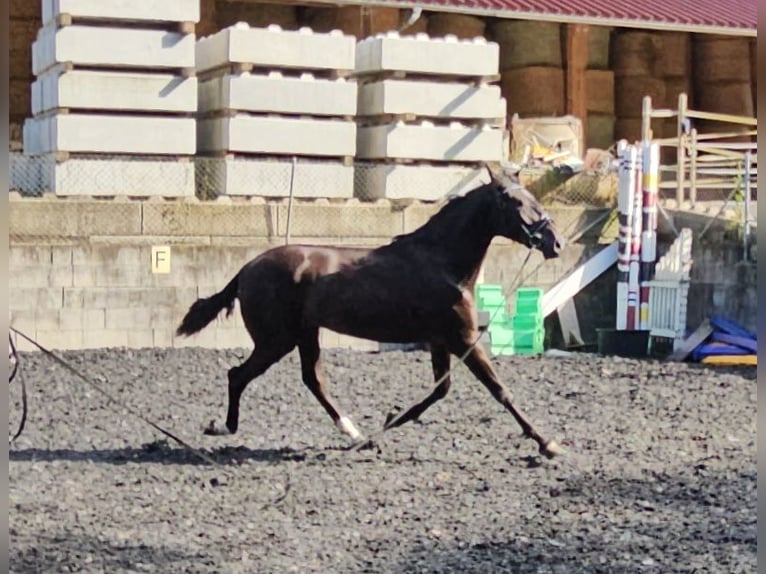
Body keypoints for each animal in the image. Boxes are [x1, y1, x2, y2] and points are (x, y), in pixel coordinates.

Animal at [177, 166, 568, 460]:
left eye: (533, 198)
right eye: (515, 201)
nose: (556, 243)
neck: (441, 262)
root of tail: (247, 268)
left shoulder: (441, 340)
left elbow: (440, 390)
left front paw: (388, 421)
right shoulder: (462, 339)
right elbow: (499, 390)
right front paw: (547, 443)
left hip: (304, 334)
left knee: (312, 380)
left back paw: (352, 431)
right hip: (277, 340)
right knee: (238, 375)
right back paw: (223, 426)